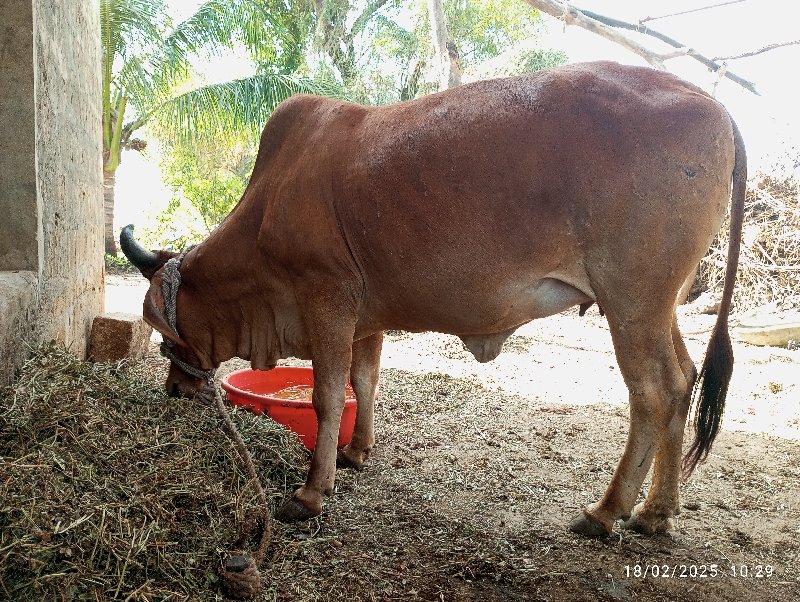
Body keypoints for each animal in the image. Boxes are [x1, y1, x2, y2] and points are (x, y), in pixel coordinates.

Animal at [122, 62, 748, 536]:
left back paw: (607, 511)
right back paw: (656, 511)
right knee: (686, 378)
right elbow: (365, 381)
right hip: (657, 306)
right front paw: (355, 454)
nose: (175, 389)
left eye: (165, 340)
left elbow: (329, 395)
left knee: (655, 392)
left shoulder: (327, 297)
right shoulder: (365, 315)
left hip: (631, 301)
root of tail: (712, 104)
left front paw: (310, 493)